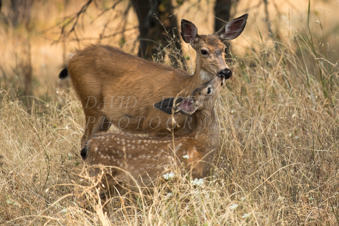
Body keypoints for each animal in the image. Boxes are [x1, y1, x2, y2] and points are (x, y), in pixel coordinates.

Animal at [59, 14, 250, 146]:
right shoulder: (154, 124)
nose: (225, 71)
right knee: (84, 139)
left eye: (224, 48)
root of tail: (71, 59)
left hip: (105, 116)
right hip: (91, 104)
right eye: (203, 51)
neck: (185, 86)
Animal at [81, 74, 226, 187]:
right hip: (101, 172)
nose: (221, 75)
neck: (200, 142)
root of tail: (88, 145)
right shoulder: (187, 174)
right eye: (208, 89)